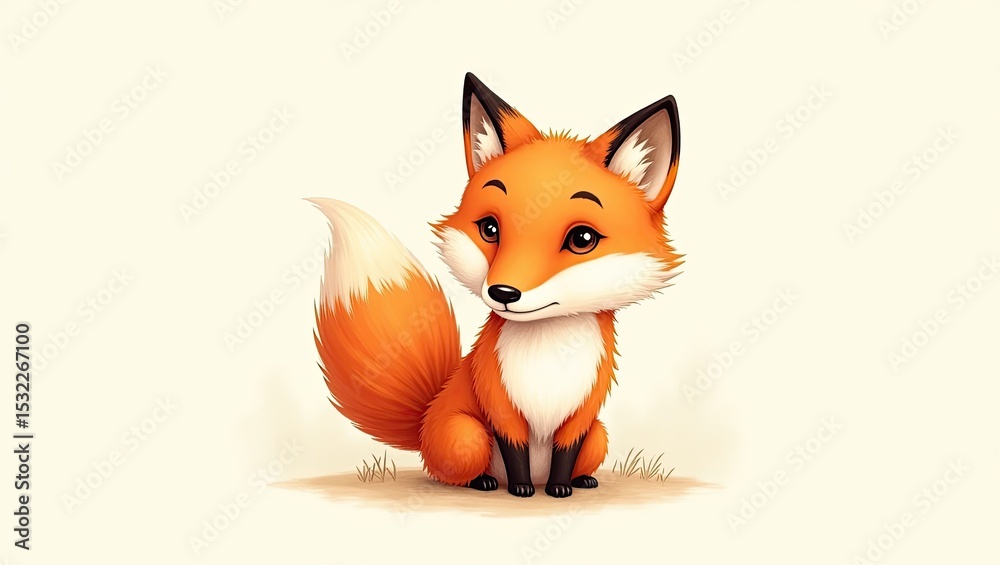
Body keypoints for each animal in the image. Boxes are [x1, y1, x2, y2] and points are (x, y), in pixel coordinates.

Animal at [311, 73, 681, 498]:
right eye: (490, 229)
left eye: (582, 239)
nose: (502, 294)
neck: (549, 352)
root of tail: (424, 423)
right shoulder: (498, 401)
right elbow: (515, 450)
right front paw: (521, 489)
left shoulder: (582, 414)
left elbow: (565, 455)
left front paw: (559, 488)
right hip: (468, 435)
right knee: (452, 473)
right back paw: (484, 482)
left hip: (599, 435)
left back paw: (583, 480)